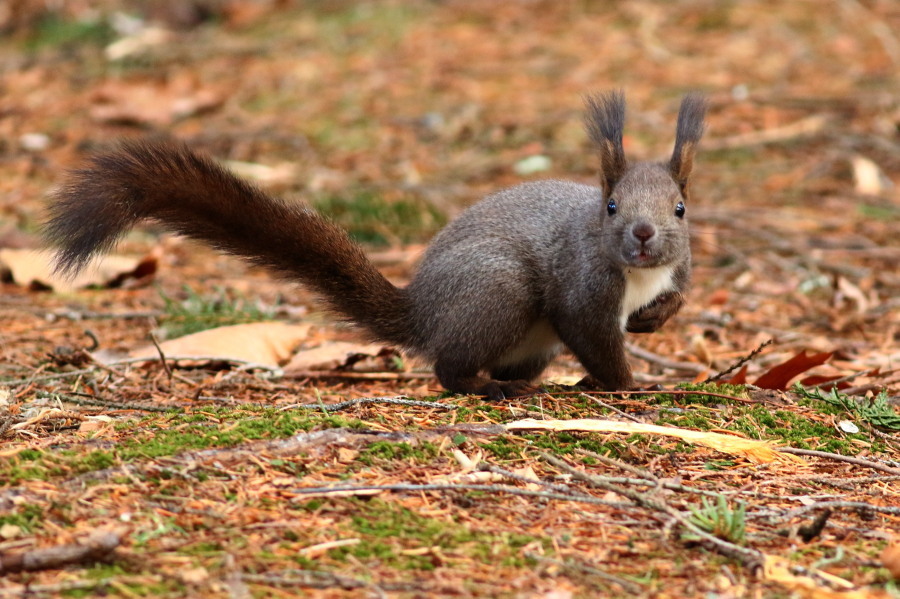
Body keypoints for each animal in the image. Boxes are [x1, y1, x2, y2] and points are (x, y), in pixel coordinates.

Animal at [45, 91, 708, 400]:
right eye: (611, 208)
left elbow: (674, 298)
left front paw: (652, 321)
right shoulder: (583, 287)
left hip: (529, 341)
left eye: (680, 209)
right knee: (449, 367)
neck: (637, 274)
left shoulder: (677, 270)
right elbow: (593, 337)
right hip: (499, 293)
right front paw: (630, 385)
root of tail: (423, 311)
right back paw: (486, 387)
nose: (643, 235)